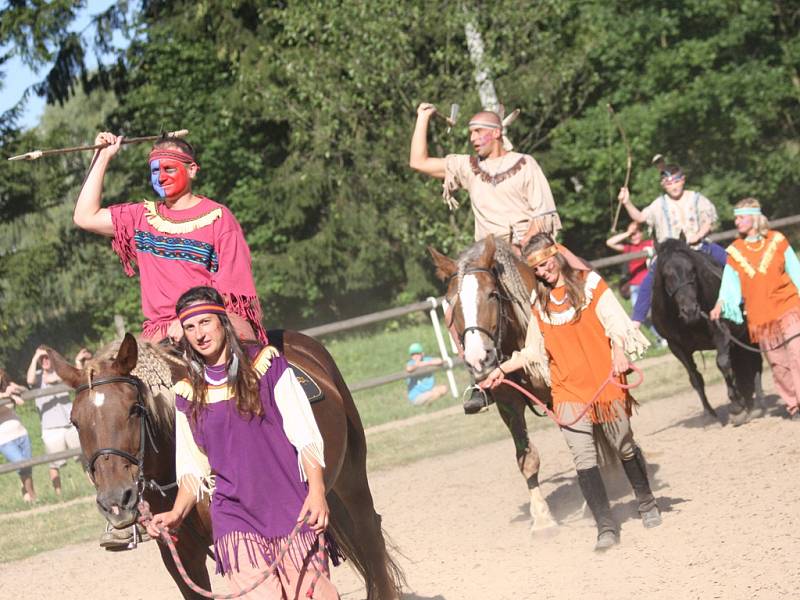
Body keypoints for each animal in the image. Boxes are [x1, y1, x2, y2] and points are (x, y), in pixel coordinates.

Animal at [47, 332, 404, 600]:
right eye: (75, 421)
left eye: (134, 409)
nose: (115, 502)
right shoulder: (181, 557)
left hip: (351, 476)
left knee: (370, 536)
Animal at [432, 237, 556, 532]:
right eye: (450, 302)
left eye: (491, 294)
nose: (480, 359)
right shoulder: (508, 405)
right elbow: (527, 459)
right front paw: (542, 518)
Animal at [648, 237, 764, 424]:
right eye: (667, 275)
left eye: (692, 271)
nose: (690, 310)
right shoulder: (676, 347)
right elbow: (695, 378)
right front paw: (710, 416)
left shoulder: (721, 332)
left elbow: (723, 364)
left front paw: (736, 407)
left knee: (755, 362)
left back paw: (757, 405)